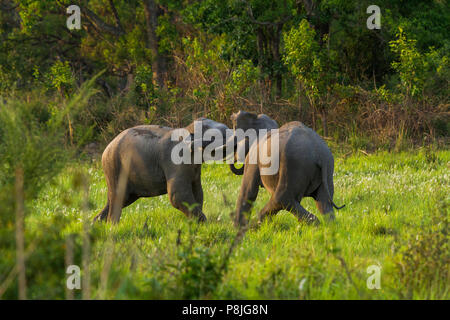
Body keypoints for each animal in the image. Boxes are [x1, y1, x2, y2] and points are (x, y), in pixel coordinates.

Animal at [94, 117, 229, 222]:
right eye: (212, 134)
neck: (187, 129)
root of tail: (104, 152)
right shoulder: (175, 161)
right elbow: (177, 195)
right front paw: (204, 223)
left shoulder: (194, 168)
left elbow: (198, 192)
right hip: (114, 167)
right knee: (118, 198)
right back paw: (112, 226)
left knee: (121, 199)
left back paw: (97, 222)